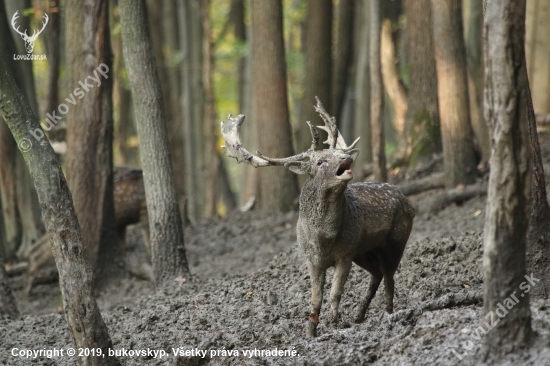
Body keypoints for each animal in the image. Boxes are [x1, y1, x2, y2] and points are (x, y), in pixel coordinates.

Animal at [222, 98, 416, 338]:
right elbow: (315, 298)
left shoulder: (345, 254)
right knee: (378, 274)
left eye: (337, 153)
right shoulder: (311, 258)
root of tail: (407, 201)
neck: (323, 239)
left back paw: (388, 314)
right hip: (364, 251)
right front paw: (310, 331)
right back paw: (360, 316)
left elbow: (335, 293)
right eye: (320, 161)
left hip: (396, 240)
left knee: (389, 277)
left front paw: (334, 324)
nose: (346, 157)